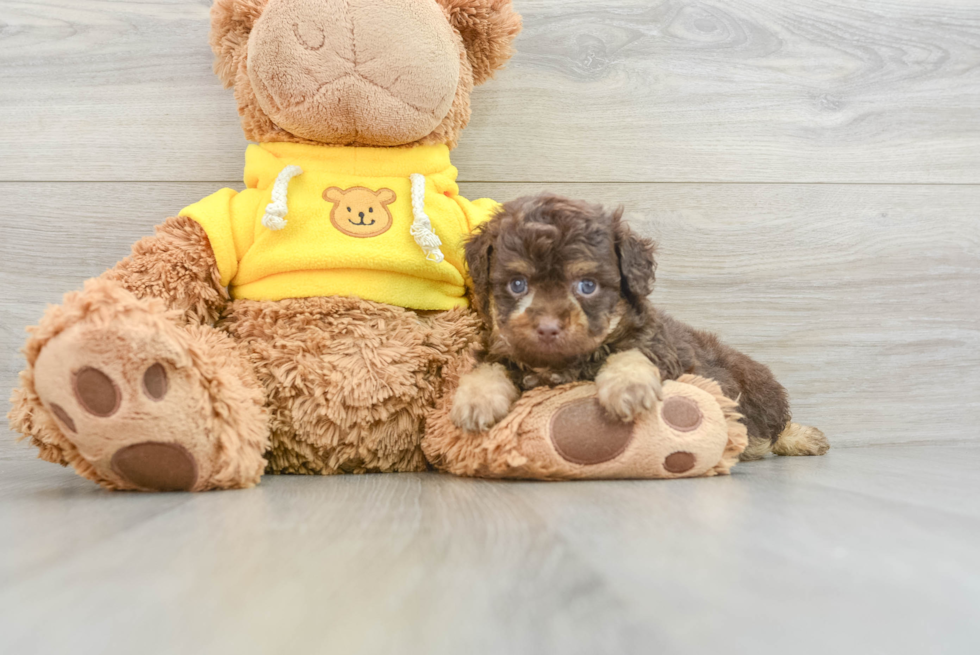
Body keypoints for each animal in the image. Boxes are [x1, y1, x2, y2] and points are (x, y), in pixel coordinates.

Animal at [452, 195, 828, 462]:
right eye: (517, 284)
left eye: (587, 285)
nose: (547, 328)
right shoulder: (502, 347)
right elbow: (489, 366)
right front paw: (475, 400)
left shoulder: (661, 351)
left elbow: (631, 353)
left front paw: (628, 387)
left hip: (759, 391)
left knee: (772, 430)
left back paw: (803, 437)